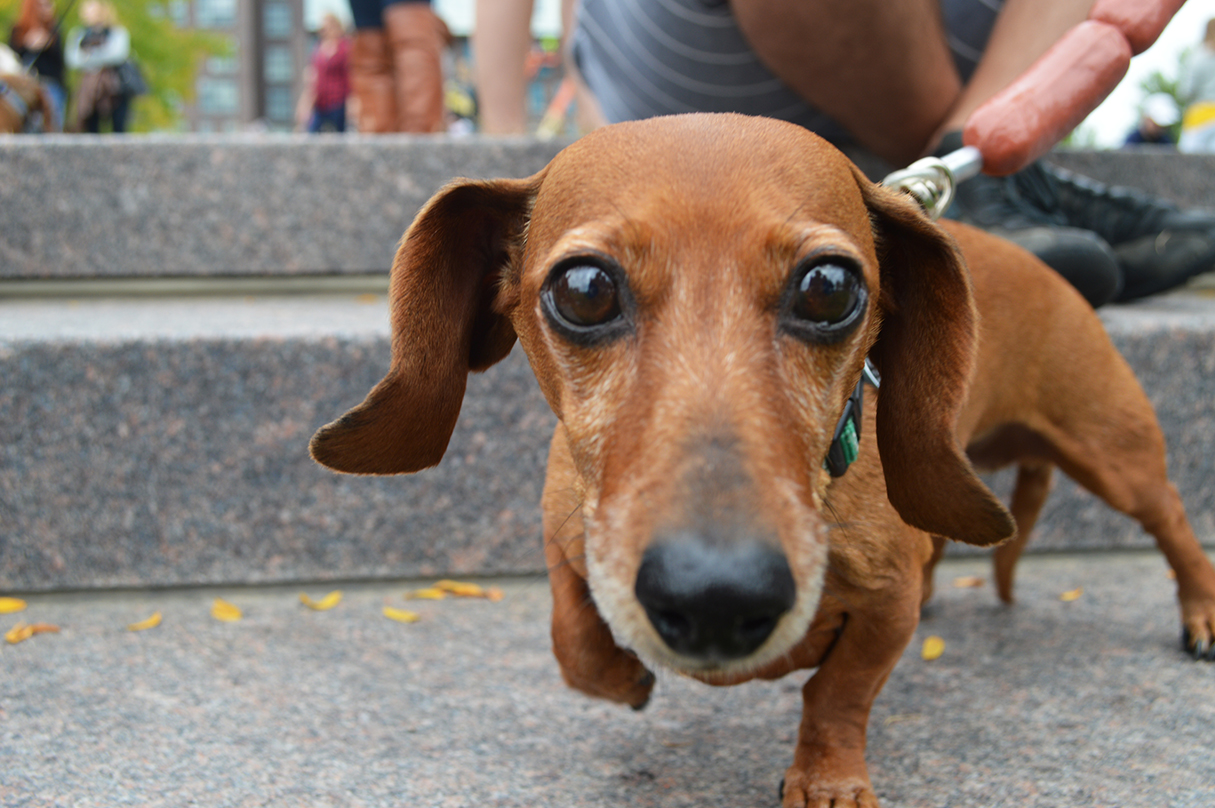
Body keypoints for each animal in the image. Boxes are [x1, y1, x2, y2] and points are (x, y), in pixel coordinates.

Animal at [306, 114, 1215, 806]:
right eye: (583, 290)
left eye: (828, 287)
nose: (713, 596)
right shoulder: (568, 534)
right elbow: (575, 635)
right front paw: (621, 678)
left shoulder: (882, 612)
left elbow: (837, 695)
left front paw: (828, 782)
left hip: (1115, 453)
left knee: (1174, 527)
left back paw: (1200, 615)